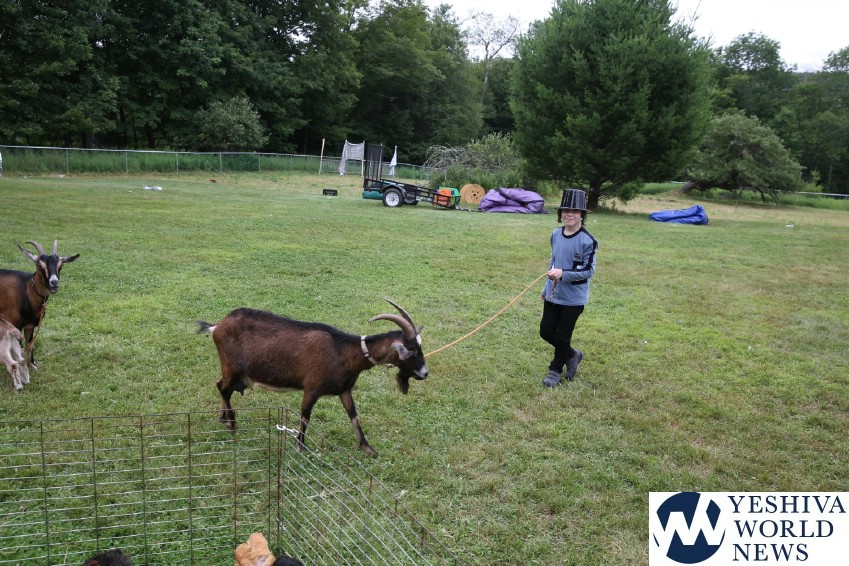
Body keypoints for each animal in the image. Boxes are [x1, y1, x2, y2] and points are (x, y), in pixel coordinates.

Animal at [0, 240, 79, 369]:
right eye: (40, 266)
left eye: (60, 266)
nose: (54, 283)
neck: (27, 289)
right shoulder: (14, 324)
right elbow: (18, 351)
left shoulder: (30, 324)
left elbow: (30, 344)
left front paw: (32, 365)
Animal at [197, 299, 428, 456]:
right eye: (412, 351)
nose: (425, 373)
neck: (343, 352)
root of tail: (216, 326)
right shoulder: (312, 388)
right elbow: (305, 416)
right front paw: (300, 445)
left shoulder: (344, 389)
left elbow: (354, 416)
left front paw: (367, 447)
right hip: (231, 367)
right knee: (222, 388)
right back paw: (232, 423)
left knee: (223, 388)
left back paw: (224, 419)